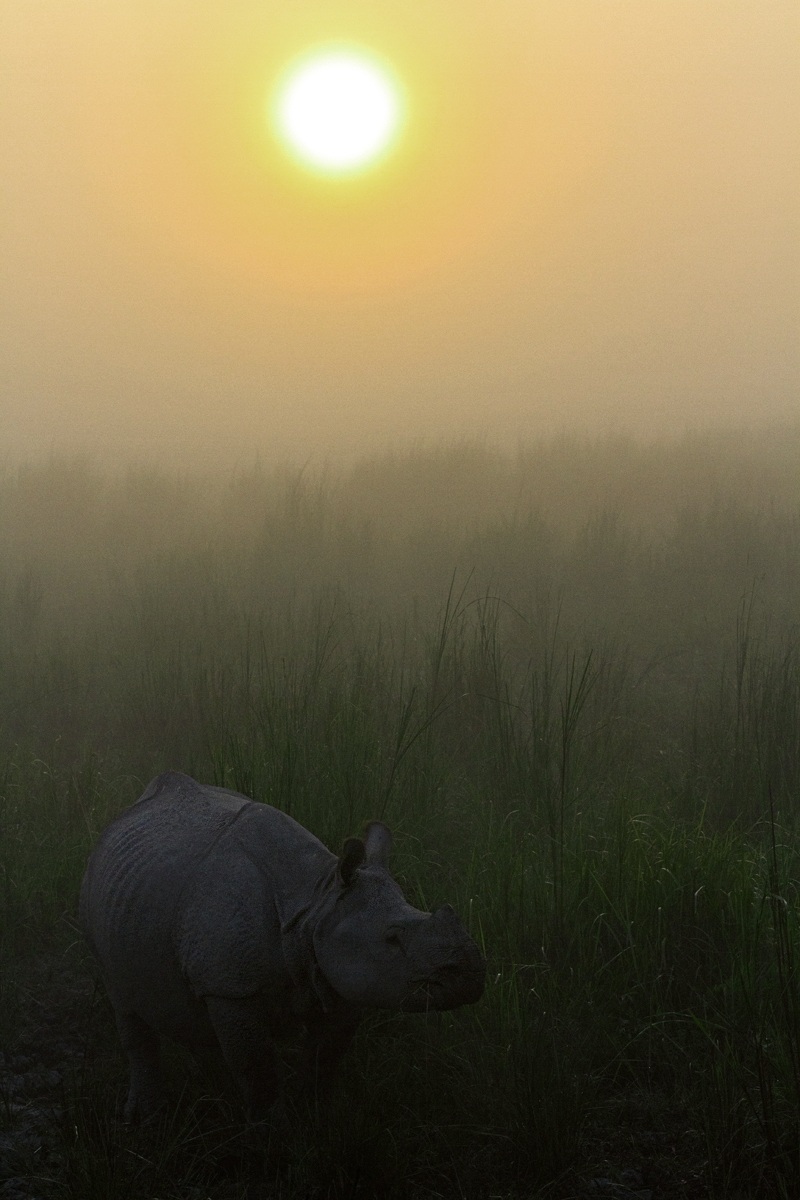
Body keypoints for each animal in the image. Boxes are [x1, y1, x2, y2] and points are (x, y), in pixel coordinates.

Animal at [79, 771, 485, 1122]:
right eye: (392, 938)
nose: (470, 973)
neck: (317, 902)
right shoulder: (231, 988)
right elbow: (257, 1069)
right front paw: (273, 1134)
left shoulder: (343, 976)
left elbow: (327, 1058)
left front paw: (318, 1116)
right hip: (97, 900)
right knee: (124, 1003)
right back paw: (144, 1116)